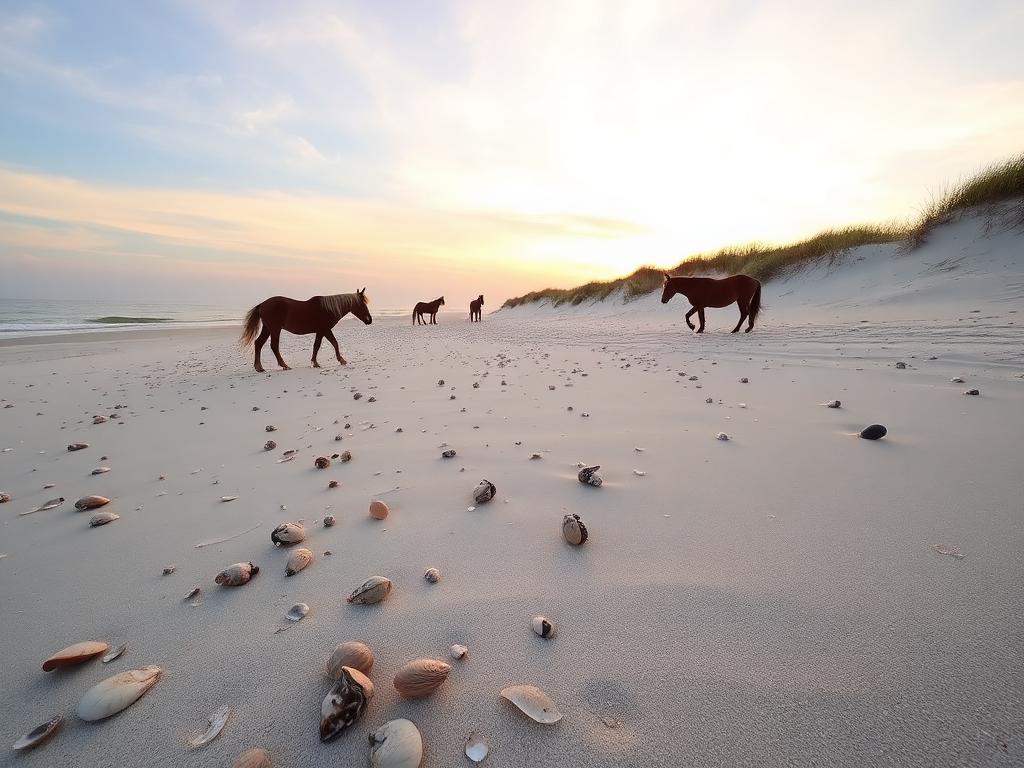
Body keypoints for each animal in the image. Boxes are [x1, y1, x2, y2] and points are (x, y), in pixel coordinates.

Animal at [240, 289, 372, 372]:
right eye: (362, 304)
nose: (369, 320)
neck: (327, 309)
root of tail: (263, 304)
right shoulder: (324, 330)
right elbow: (333, 343)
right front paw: (341, 360)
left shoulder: (321, 331)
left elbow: (318, 345)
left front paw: (315, 362)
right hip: (275, 329)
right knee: (274, 346)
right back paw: (284, 365)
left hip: (268, 329)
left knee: (258, 343)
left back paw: (259, 367)